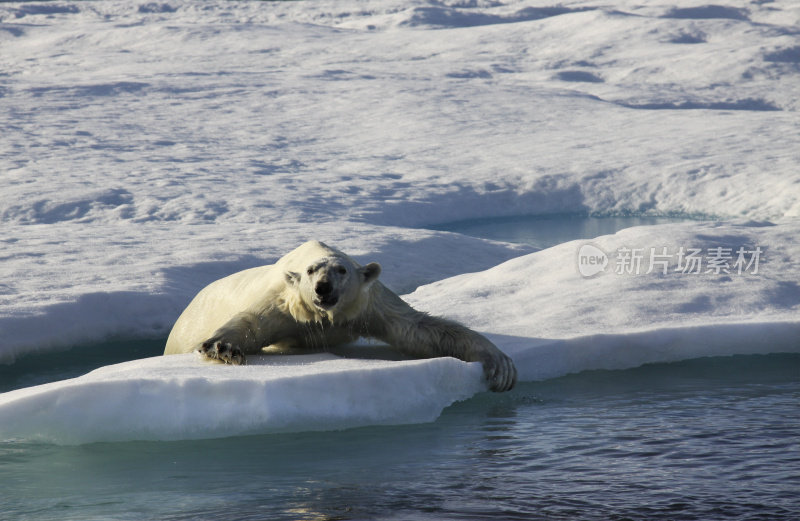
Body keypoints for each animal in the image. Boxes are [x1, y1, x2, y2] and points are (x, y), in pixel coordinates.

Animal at [166, 240, 520, 390]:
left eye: (342, 270)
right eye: (311, 271)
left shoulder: (367, 304)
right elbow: (252, 322)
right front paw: (222, 347)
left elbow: (419, 329)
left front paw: (499, 364)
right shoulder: (285, 303)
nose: (323, 288)